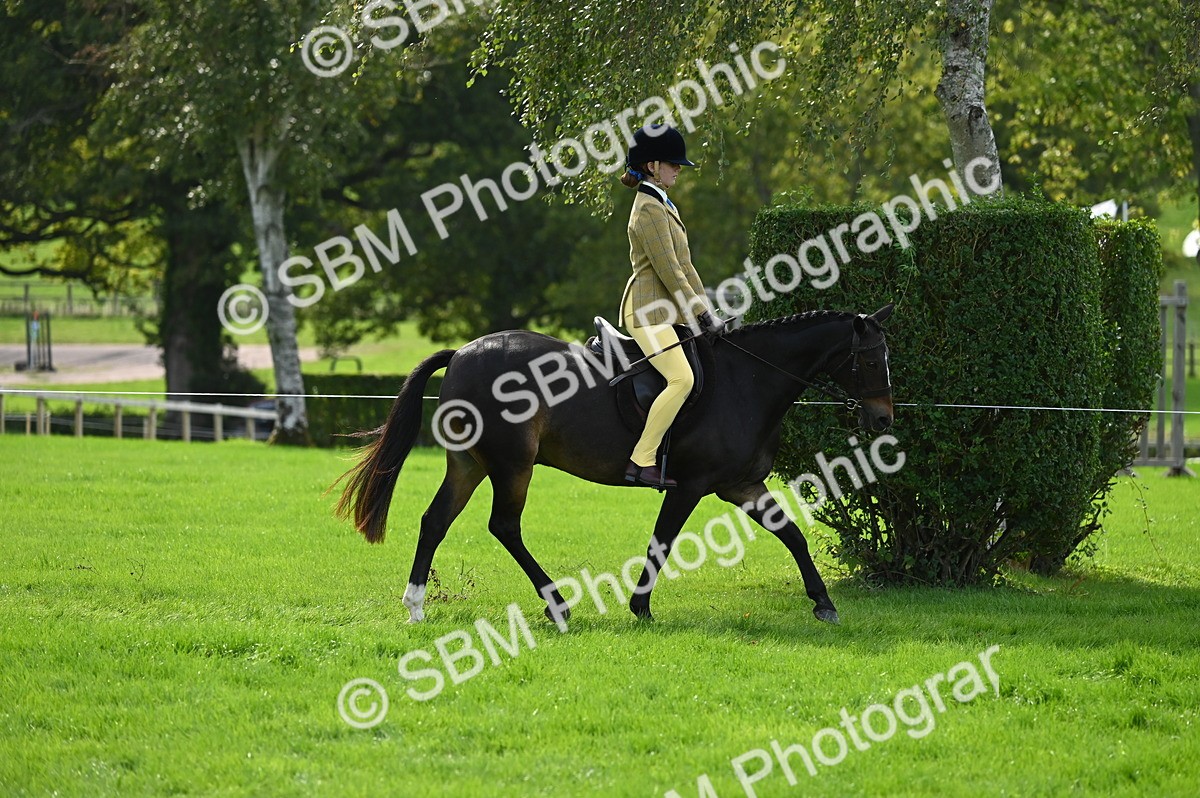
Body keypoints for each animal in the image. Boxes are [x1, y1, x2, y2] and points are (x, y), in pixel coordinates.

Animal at [334, 305, 894, 626]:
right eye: (870, 360)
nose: (883, 418)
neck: (746, 380)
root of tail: (464, 352)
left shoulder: (743, 485)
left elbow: (793, 535)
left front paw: (823, 603)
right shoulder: (690, 486)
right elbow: (661, 542)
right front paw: (640, 607)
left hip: (469, 464)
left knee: (436, 521)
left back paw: (416, 607)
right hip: (513, 464)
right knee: (504, 526)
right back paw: (557, 605)